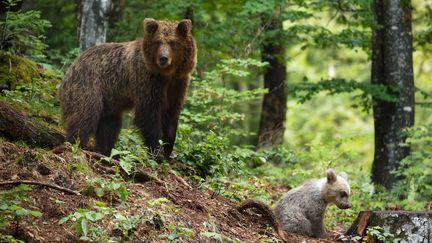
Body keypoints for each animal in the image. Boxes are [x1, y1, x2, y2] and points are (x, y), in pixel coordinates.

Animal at [58, 19, 196, 159]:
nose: (163, 58)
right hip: (88, 85)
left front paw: (168, 150)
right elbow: (149, 115)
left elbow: (172, 116)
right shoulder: (147, 81)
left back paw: (106, 151)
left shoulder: (178, 84)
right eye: (158, 42)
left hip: (109, 103)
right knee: (84, 115)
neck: (167, 75)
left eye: (173, 42)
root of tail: (71, 68)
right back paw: (75, 144)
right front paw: (158, 152)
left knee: (109, 126)